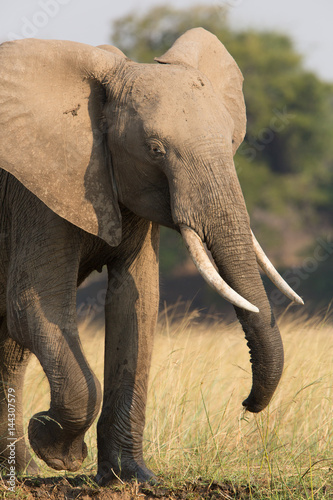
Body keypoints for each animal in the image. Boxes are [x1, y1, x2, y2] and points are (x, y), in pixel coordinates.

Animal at [0, 28, 302, 484]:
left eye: (232, 142)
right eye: (156, 150)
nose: (246, 405)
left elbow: (135, 300)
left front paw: (132, 477)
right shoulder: (36, 189)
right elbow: (33, 305)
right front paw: (61, 452)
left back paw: (20, 474)